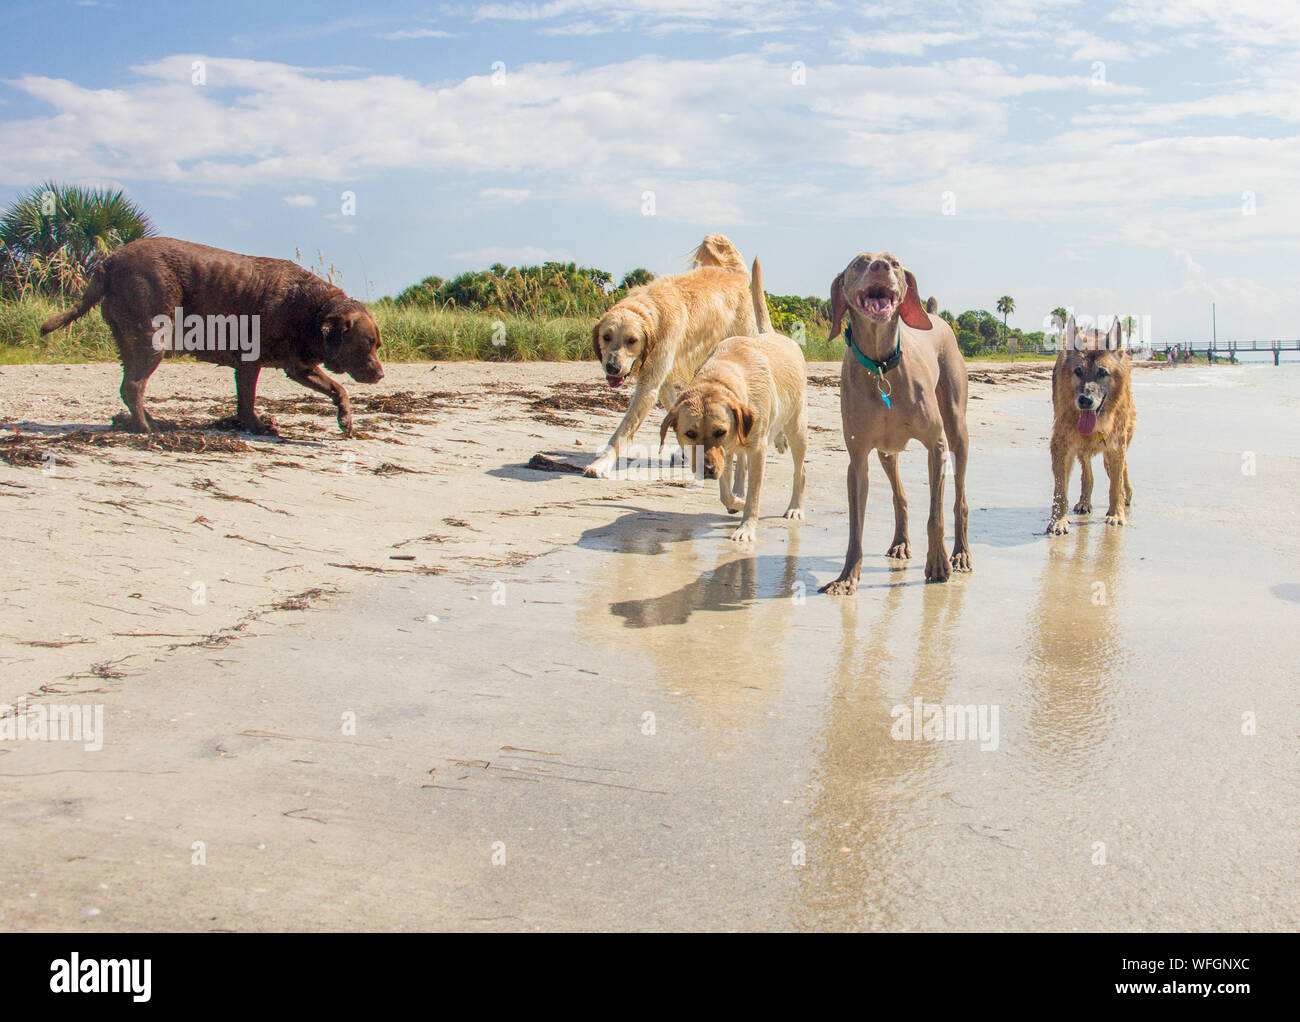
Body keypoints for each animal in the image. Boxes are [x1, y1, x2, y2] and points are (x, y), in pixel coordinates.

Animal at [816, 249, 972, 592]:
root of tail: (936, 317)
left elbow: (935, 516)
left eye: (895, 263)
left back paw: (960, 553)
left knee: (959, 500)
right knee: (899, 495)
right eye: (858, 263)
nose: (880, 266)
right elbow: (856, 526)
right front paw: (847, 577)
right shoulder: (858, 458)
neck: (880, 364)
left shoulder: (936, 445)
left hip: (957, 428)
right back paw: (900, 543)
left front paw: (938, 563)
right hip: (887, 450)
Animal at [1045, 312, 1138, 533]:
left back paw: (1126, 494)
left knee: (1121, 470)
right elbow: (1060, 487)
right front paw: (1058, 519)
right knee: (1087, 472)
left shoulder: (1116, 445)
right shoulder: (1061, 444)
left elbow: (1115, 484)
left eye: (1102, 372)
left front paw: (1116, 514)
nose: (1085, 400)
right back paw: (1085, 501)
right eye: (1078, 371)